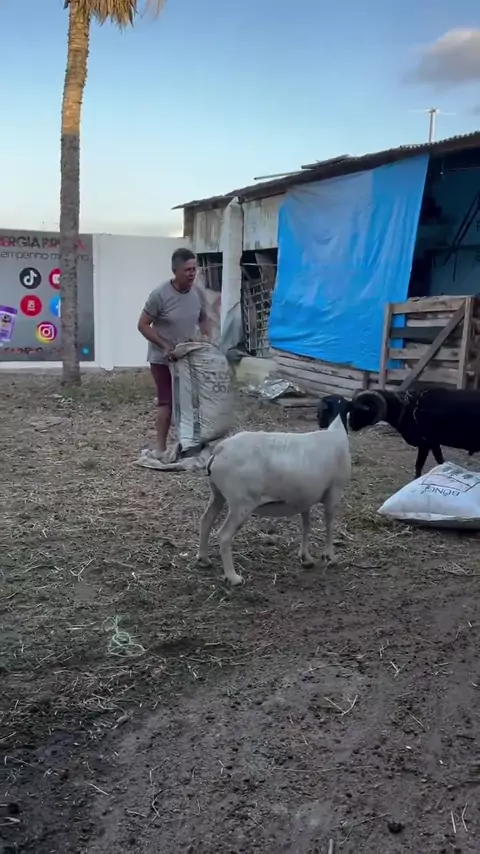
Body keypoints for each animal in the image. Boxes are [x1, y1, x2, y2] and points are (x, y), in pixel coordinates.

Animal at [196, 396, 352, 586]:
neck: (335, 431)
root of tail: (220, 449)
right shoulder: (334, 491)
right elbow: (329, 524)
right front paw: (330, 556)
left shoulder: (304, 497)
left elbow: (306, 526)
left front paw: (305, 558)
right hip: (242, 503)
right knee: (224, 535)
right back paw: (233, 577)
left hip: (217, 494)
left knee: (206, 521)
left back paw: (203, 559)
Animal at [317, 387, 480, 479]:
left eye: (362, 408)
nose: (351, 425)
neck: (406, 408)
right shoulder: (433, 442)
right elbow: (440, 461)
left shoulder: (425, 443)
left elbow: (419, 465)